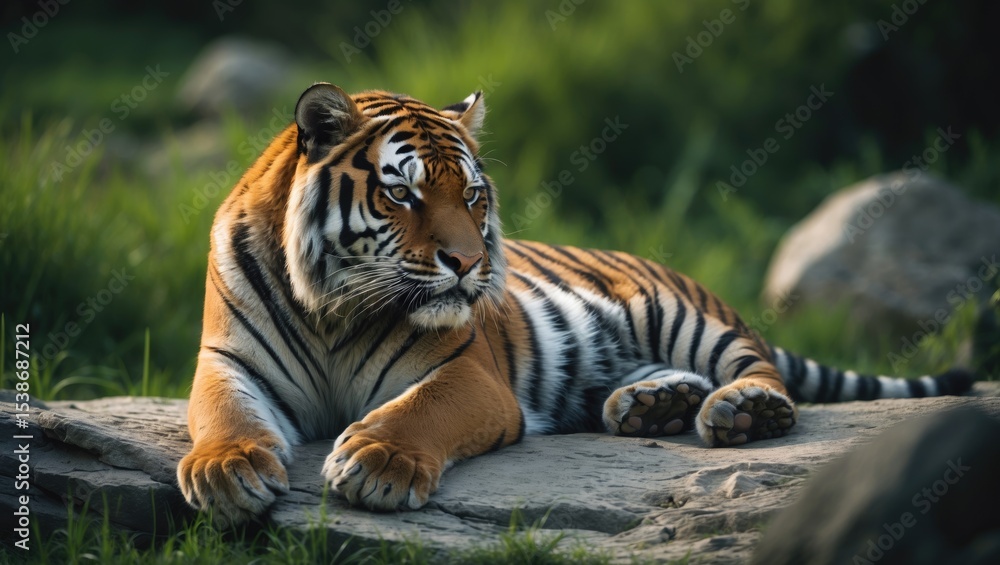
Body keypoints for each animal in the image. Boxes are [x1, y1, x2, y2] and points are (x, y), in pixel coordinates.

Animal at [176, 83, 974, 527]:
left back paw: (740, 411)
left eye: (472, 195)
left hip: (681, 314)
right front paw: (225, 470)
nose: (469, 263)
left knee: (759, 369)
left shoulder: (470, 375)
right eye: (401, 193)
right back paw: (653, 407)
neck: (332, 309)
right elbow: (221, 413)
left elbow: (418, 410)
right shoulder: (229, 360)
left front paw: (379, 461)